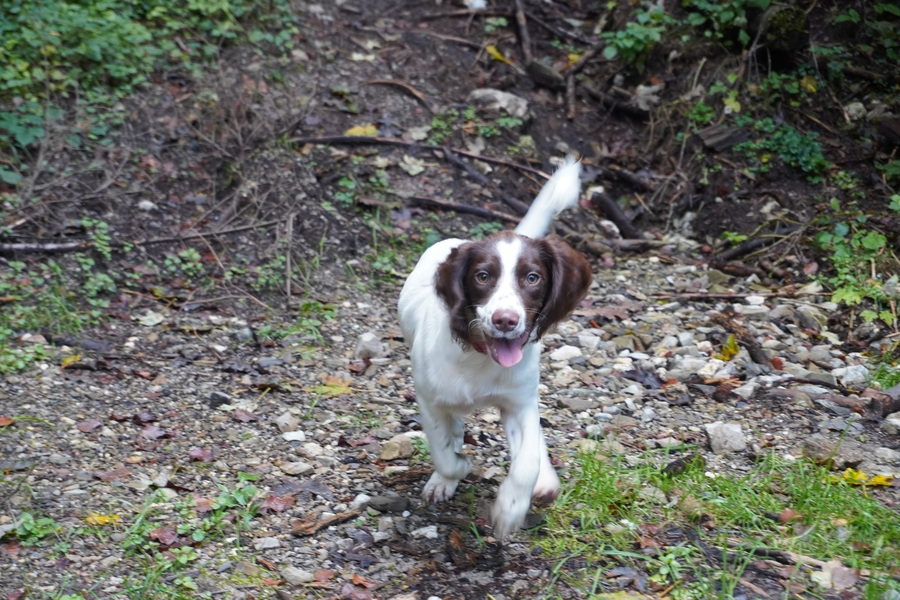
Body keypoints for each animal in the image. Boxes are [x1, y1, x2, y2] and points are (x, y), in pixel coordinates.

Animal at [398, 157, 596, 536]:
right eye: (483, 276)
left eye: (533, 278)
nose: (506, 320)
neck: (479, 358)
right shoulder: (429, 398)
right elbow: (444, 451)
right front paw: (455, 471)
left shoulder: (518, 402)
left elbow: (527, 460)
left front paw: (510, 508)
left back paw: (544, 481)